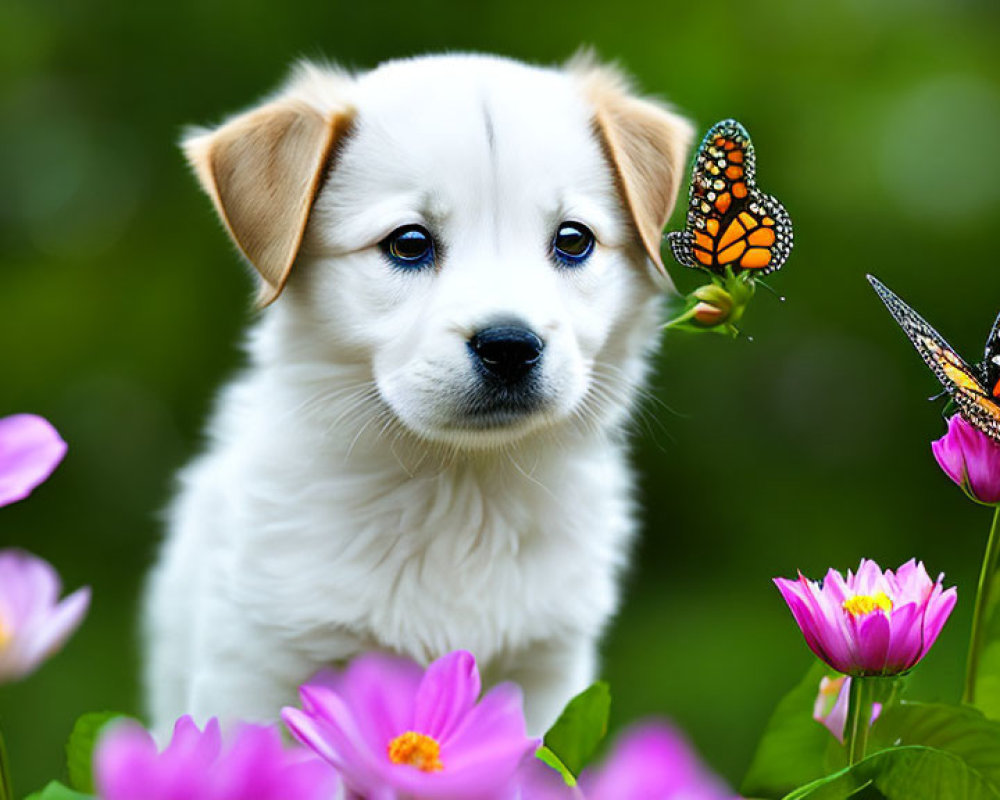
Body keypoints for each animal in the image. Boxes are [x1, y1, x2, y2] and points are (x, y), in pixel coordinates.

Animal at [145, 53, 692, 736]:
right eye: (409, 243)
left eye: (573, 240)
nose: (509, 345)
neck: (459, 491)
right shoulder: (254, 663)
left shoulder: (548, 672)